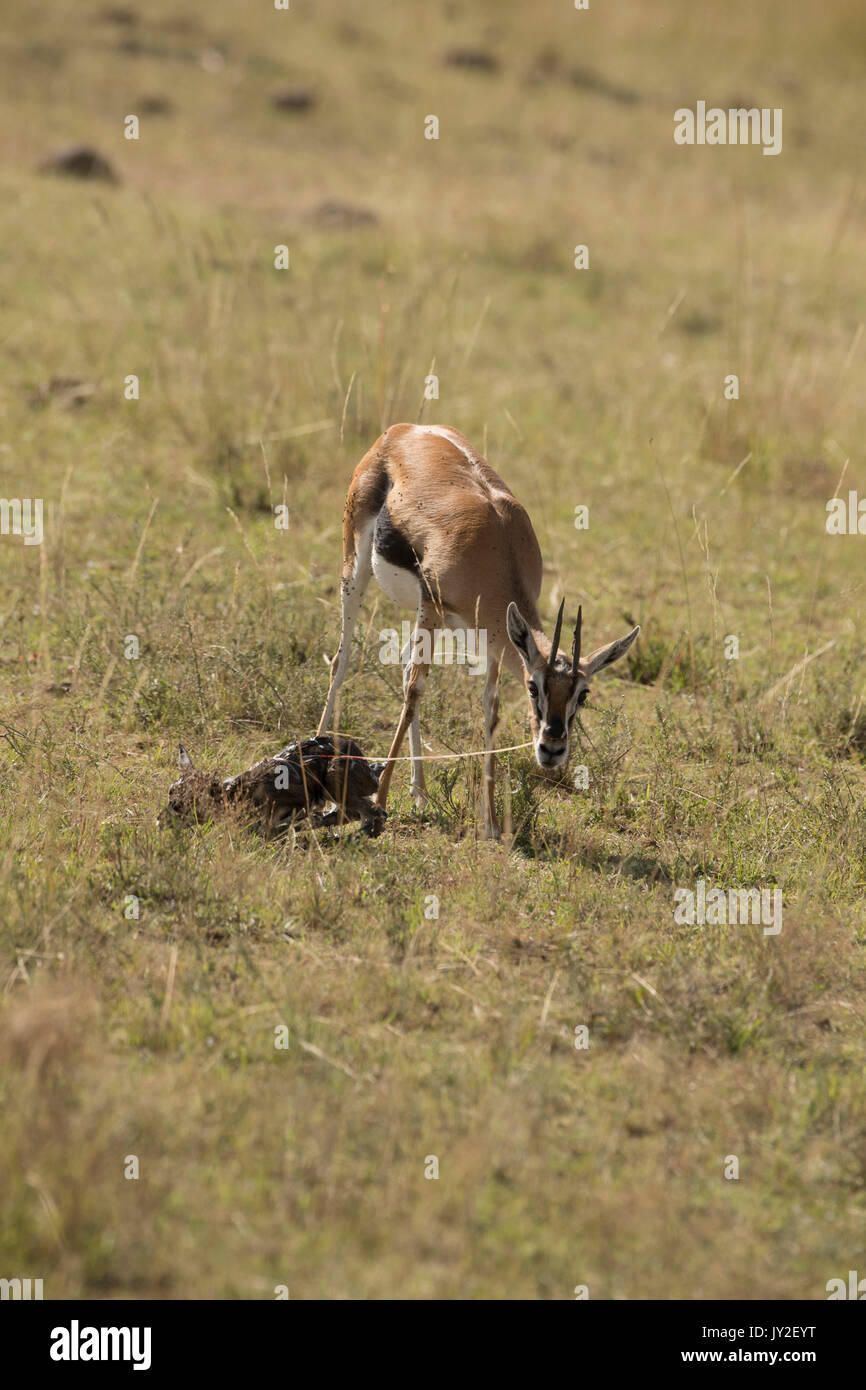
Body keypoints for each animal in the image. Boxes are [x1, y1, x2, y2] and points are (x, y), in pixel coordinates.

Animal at [164, 739, 389, 834]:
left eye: (185, 803)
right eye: (170, 792)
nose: (160, 820)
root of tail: (372, 769)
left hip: (335, 783)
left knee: (376, 813)